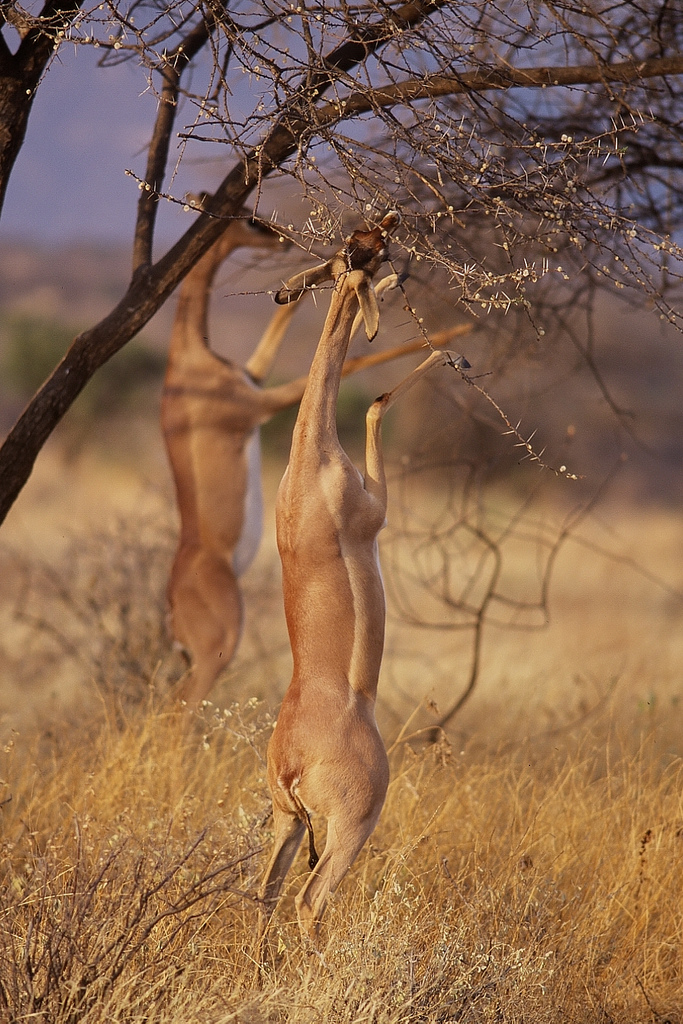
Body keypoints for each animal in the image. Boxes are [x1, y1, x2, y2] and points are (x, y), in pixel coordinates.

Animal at [259, 213, 469, 942]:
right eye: (364, 249)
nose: (391, 225)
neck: (307, 459)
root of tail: (291, 762)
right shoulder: (377, 510)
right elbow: (377, 402)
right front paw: (454, 354)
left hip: (287, 823)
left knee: (263, 895)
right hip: (354, 824)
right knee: (307, 901)